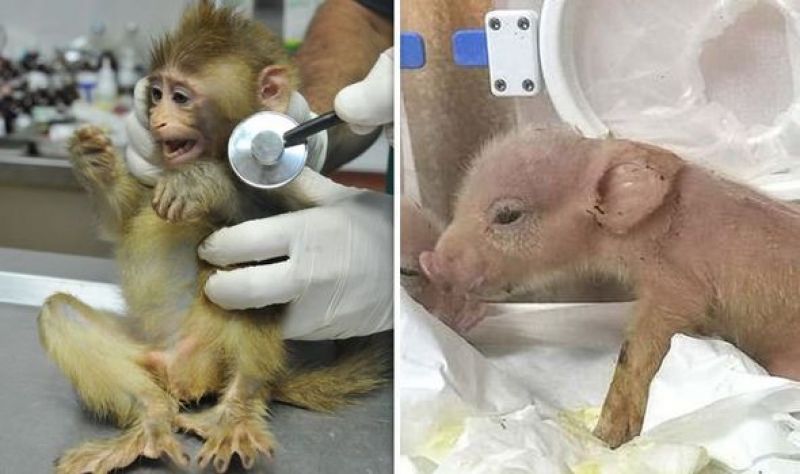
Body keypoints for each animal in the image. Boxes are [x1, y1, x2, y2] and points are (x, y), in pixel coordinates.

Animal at [37, 3, 387, 473]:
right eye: (156, 93)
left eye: (181, 97)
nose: (158, 118)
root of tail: (184, 373)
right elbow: (121, 223)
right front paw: (95, 162)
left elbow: (284, 230)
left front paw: (206, 182)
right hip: (145, 356)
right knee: (62, 314)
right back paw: (150, 419)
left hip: (216, 352)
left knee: (248, 284)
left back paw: (235, 411)